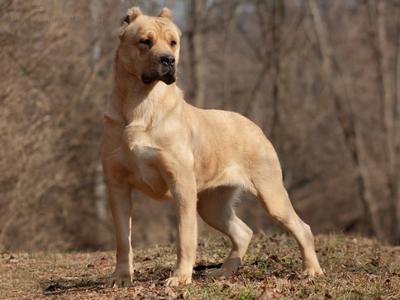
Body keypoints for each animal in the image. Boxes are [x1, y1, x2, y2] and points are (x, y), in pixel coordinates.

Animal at [101, 7, 324, 288]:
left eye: (173, 42)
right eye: (145, 41)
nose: (168, 60)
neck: (140, 102)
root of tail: (255, 126)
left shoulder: (181, 185)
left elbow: (185, 237)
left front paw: (180, 278)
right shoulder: (117, 185)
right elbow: (123, 240)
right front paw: (121, 278)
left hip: (270, 194)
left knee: (301, 228)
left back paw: (312, 270)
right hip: (212, 205)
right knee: (243, 232)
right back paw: (224, 272)